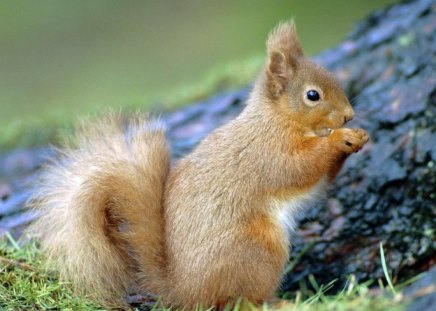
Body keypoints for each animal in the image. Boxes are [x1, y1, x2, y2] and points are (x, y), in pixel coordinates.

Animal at [29, 21, 368, 310]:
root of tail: (184, 291)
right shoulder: (268, 154)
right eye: (312, 95)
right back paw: (280, 302)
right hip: (257, 250)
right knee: (237, 300)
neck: (277, 120)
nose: (348, 116)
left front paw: (358, 138)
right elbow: (301, 167)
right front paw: (340, 139)